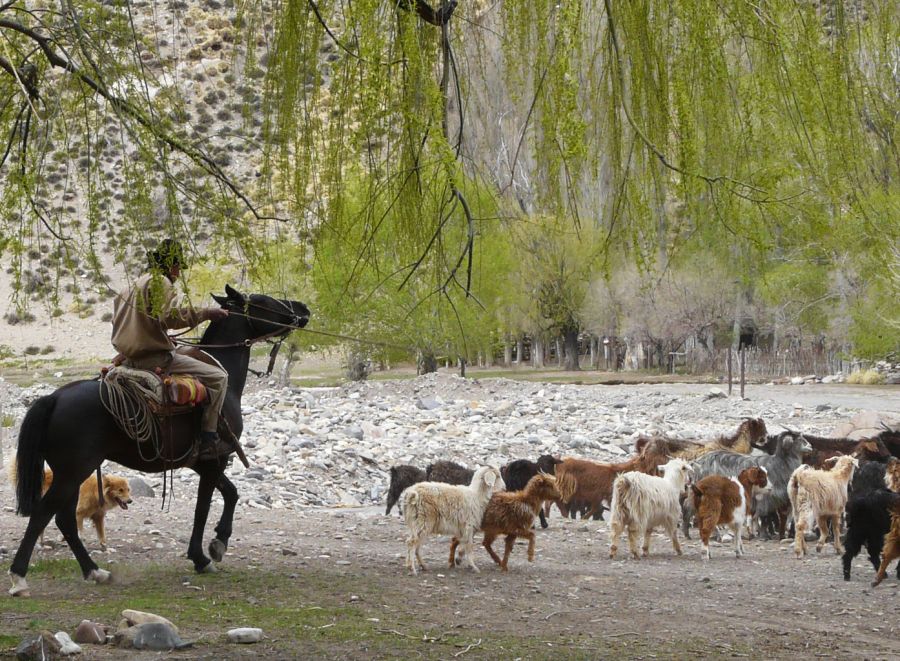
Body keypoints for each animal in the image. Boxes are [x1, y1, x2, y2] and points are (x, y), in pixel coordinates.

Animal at [7, 282, 312, 596]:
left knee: (64, 519)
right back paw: (19, 578)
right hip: (72, 472)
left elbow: (231, 493)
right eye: (265, 301)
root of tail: (54, 398)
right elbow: (203, 508)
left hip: (71, 474)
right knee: (44, 514)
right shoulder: (215, 458)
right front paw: (202, 557)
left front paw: (218, 543)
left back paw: (95, 571)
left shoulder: (202, 462)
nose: (303, 309)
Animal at [684, 430, 816, 540]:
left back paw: (690, 533)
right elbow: (764, 516)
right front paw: (764, 535)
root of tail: (696, 463)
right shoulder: (765, 496)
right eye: (798, 439)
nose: (810, 446)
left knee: (689, 506)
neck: (780, 464)